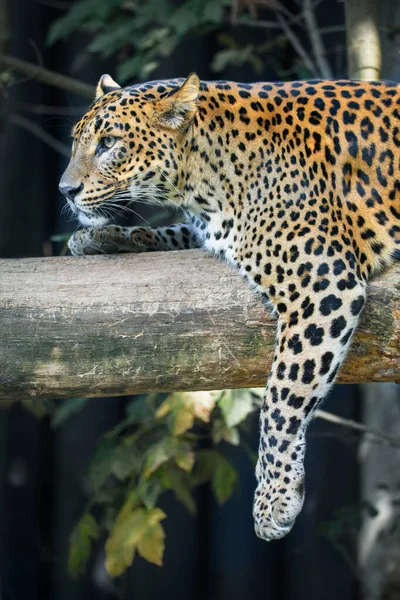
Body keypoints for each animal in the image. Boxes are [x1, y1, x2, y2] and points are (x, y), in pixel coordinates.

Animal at [58, 71, 400, 544]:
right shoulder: (210, 230)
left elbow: (281, 397)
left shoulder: (322, 283)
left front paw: (274, 499)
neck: (203, 179)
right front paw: (101, 237)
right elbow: (170, 232)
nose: (65, 191)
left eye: (108, 143)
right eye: (77, 141)